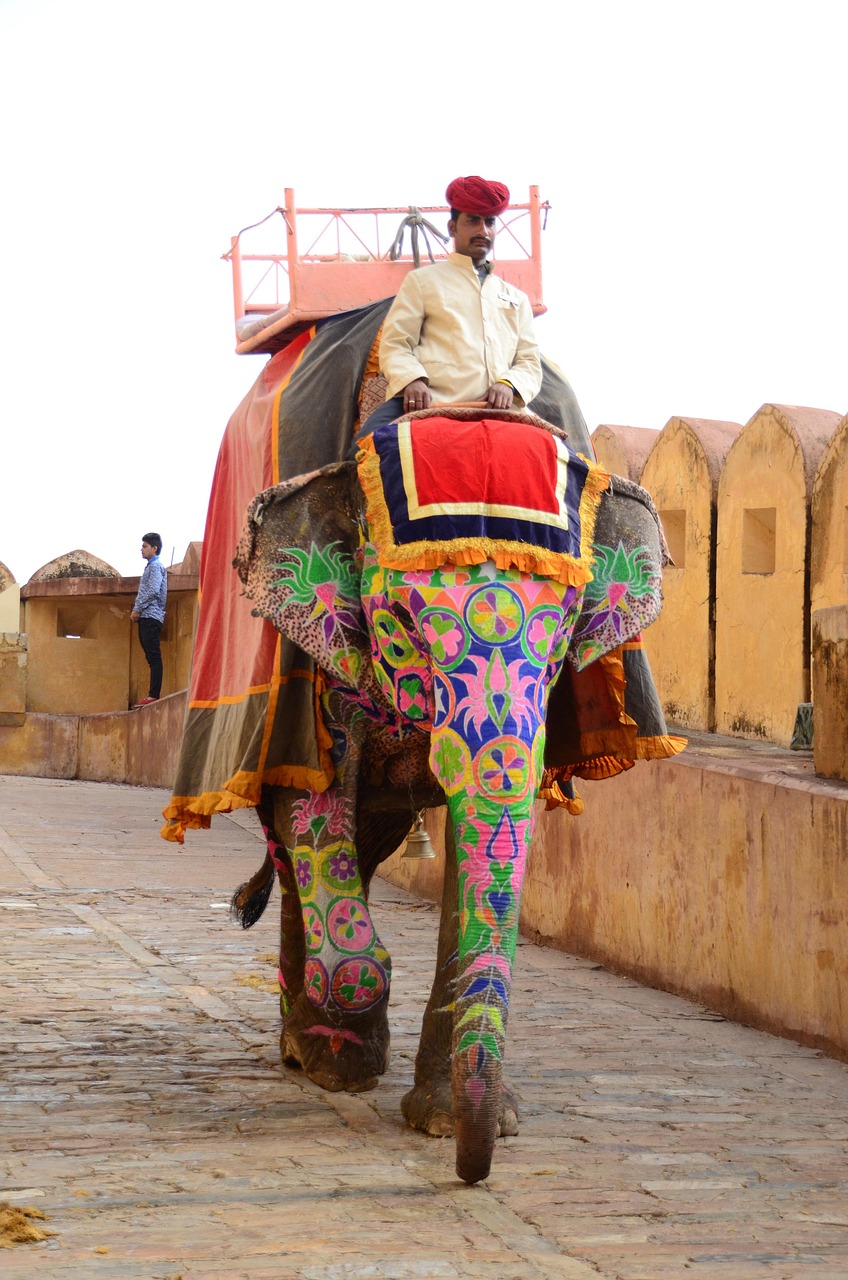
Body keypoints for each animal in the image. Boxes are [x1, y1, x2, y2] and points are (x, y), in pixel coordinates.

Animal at [162, 307, 686, 1177]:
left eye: (568, 637)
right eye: (404, 623)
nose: (474, 1174)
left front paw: (461, 1122)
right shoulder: (317, 654)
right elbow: (317, 805)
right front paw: (352, 1058)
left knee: (367, 841)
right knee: (301, 835)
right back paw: (315, 1058)